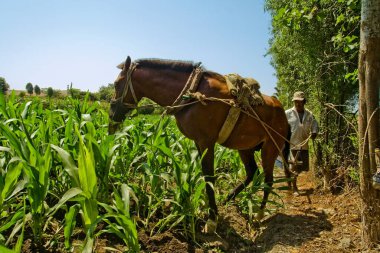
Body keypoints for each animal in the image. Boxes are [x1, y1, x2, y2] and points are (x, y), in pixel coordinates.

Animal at [108, 55, 290, 233]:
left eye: (116, 84)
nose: (111, 115)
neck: (192, 93)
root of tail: (283, 113)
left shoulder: (206, 141)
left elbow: (210, 177)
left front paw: (212, 219)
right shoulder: (198, 142)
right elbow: (205, 176)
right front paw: (211, 209)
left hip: (270, 148)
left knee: (268, 180)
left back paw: (259, 214)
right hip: (245, 147)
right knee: (252, 172)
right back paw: (229, 198)